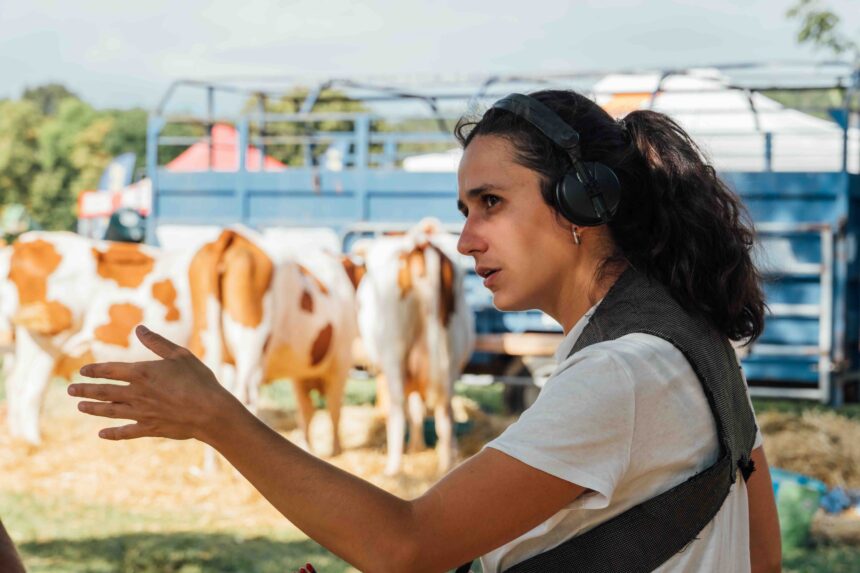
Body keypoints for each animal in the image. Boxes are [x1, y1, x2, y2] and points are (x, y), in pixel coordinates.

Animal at [190, 227, 358, 456]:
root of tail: (235, 234)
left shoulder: (300, 372)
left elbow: (306, 409)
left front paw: (308, 446)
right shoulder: (341, 359)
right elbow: (334, 407)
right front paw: (335, 449)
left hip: (207, 339)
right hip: (252, 346)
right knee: (245, 397)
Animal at [356, 218, 478, 474]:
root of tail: (421, 244)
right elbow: (418, 408)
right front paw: (417, 446)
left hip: (393, 353)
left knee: (397, 410)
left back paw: (393, 469)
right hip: (449, 358)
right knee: (445, 413)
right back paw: (445, 464)